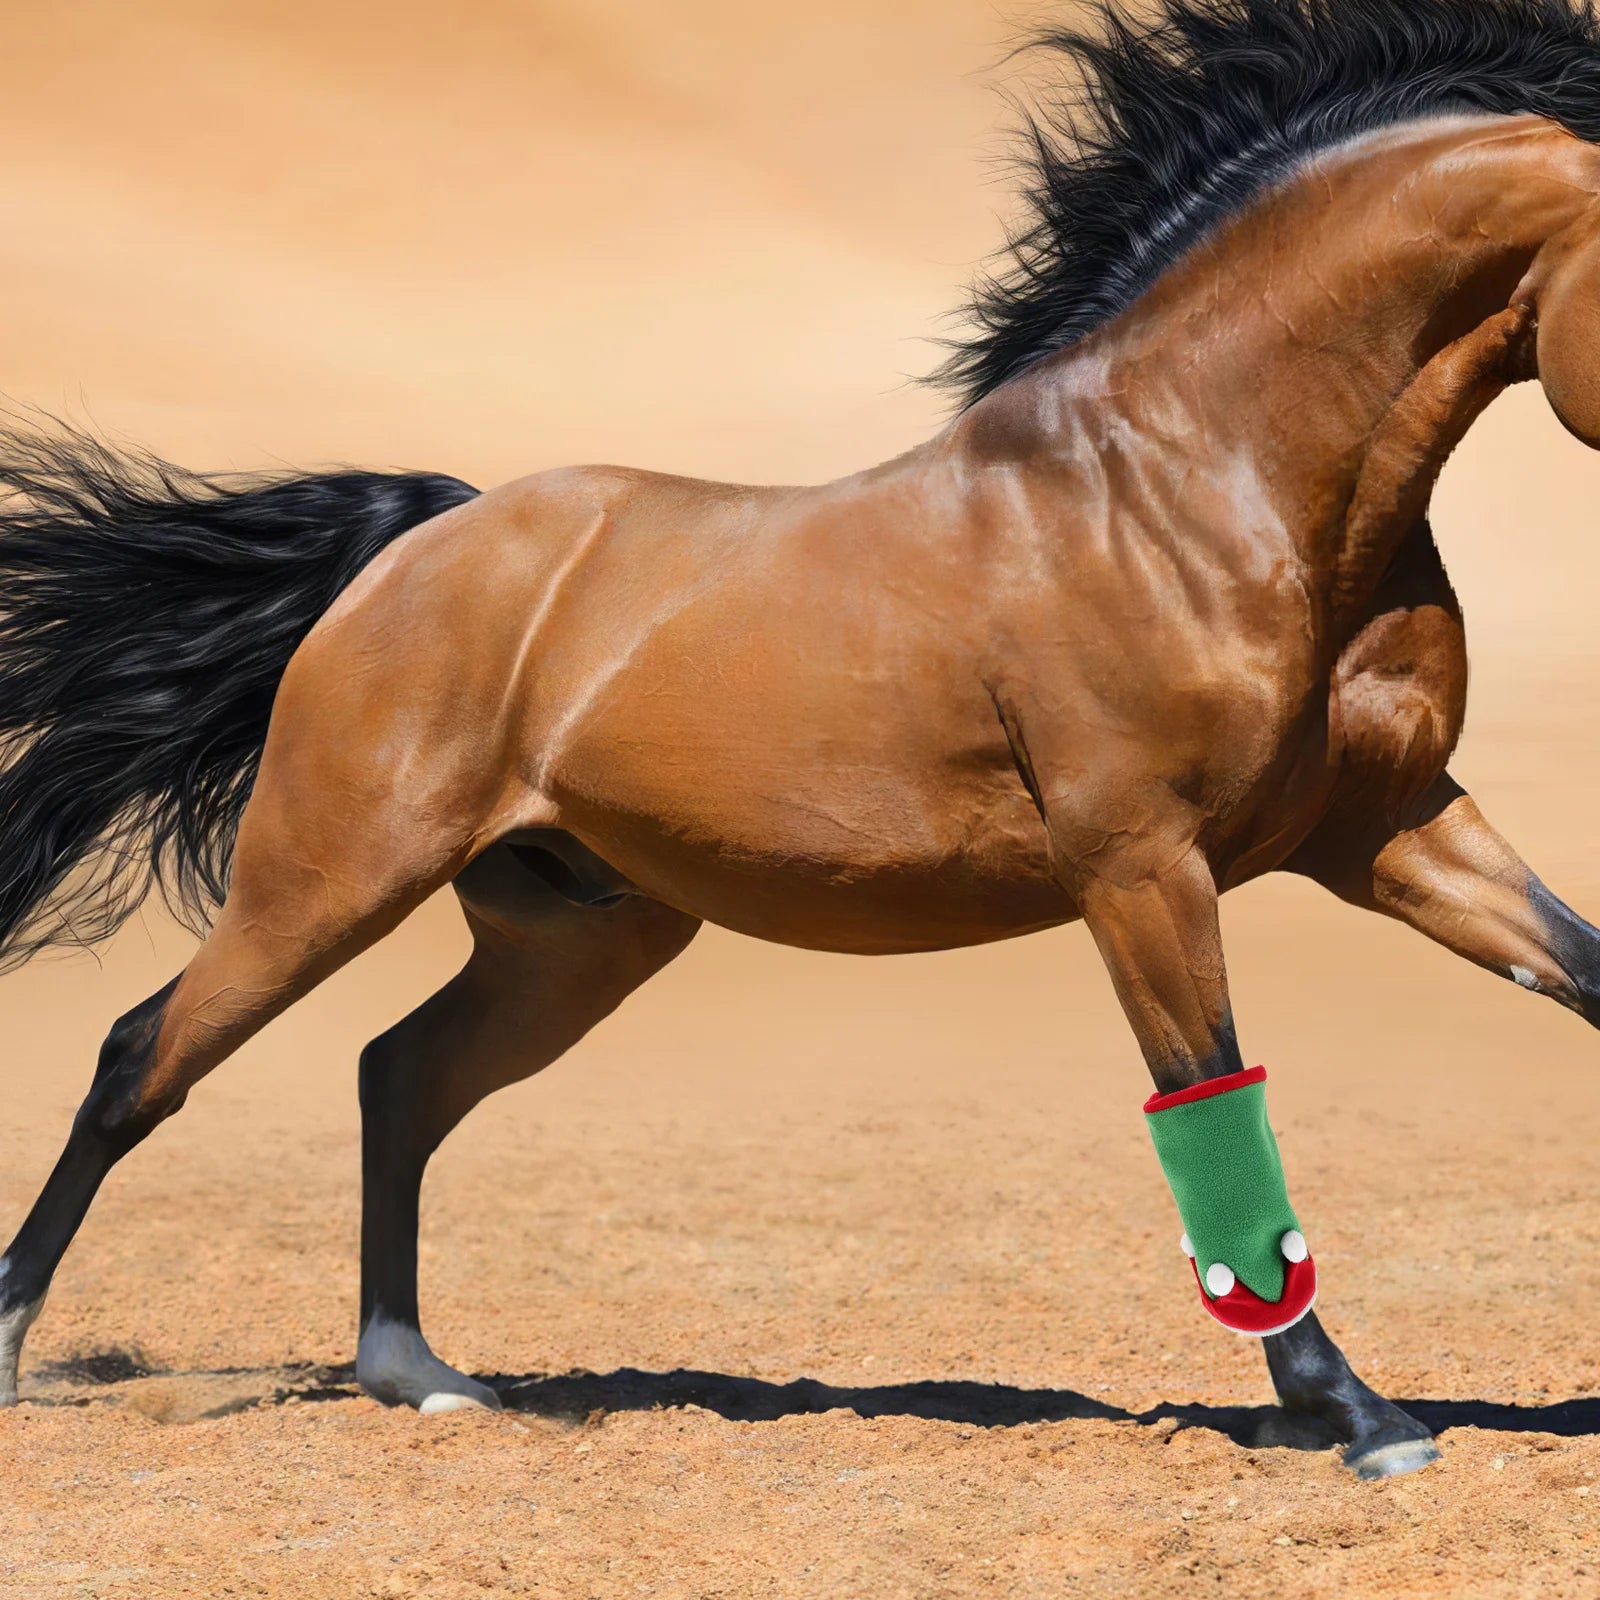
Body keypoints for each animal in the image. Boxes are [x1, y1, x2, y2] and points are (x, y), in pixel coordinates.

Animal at [3, 0, 1600, 1481]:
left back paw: (422, 1377)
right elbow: (1207, 1098)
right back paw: (25, 1348)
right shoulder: (1142, 866)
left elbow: (1578, 973)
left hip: (578, 935)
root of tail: (417, 545)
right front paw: (1356, 1415)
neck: (1207, 483)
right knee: (142, 1056)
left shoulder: (1385, 828)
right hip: (326, 879)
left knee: (397, 1075)